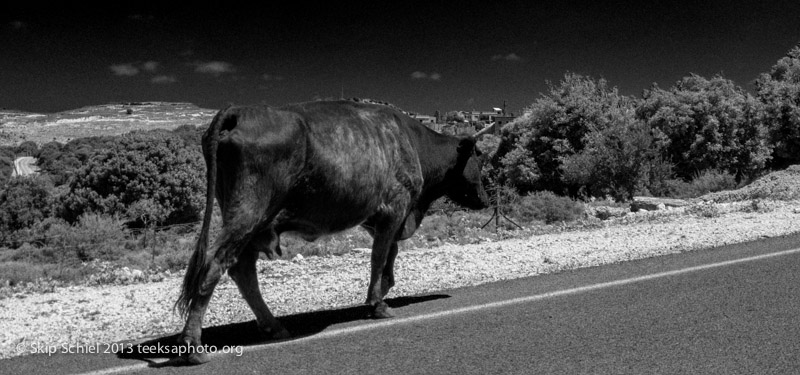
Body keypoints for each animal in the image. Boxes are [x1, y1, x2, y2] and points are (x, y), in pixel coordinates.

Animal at [173, 100, 494, 364]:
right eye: (478, 157)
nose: (484, 199)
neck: (411, 141)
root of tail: (239, 111)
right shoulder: (393, 211)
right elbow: (379, 258)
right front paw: (378, 304)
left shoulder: (379, 220)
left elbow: (388, 257)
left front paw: (380, 292)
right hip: (247, 215)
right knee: (215, 264)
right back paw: (194, 347)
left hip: (254, 224)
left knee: (242, 270)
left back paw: (274, 326)